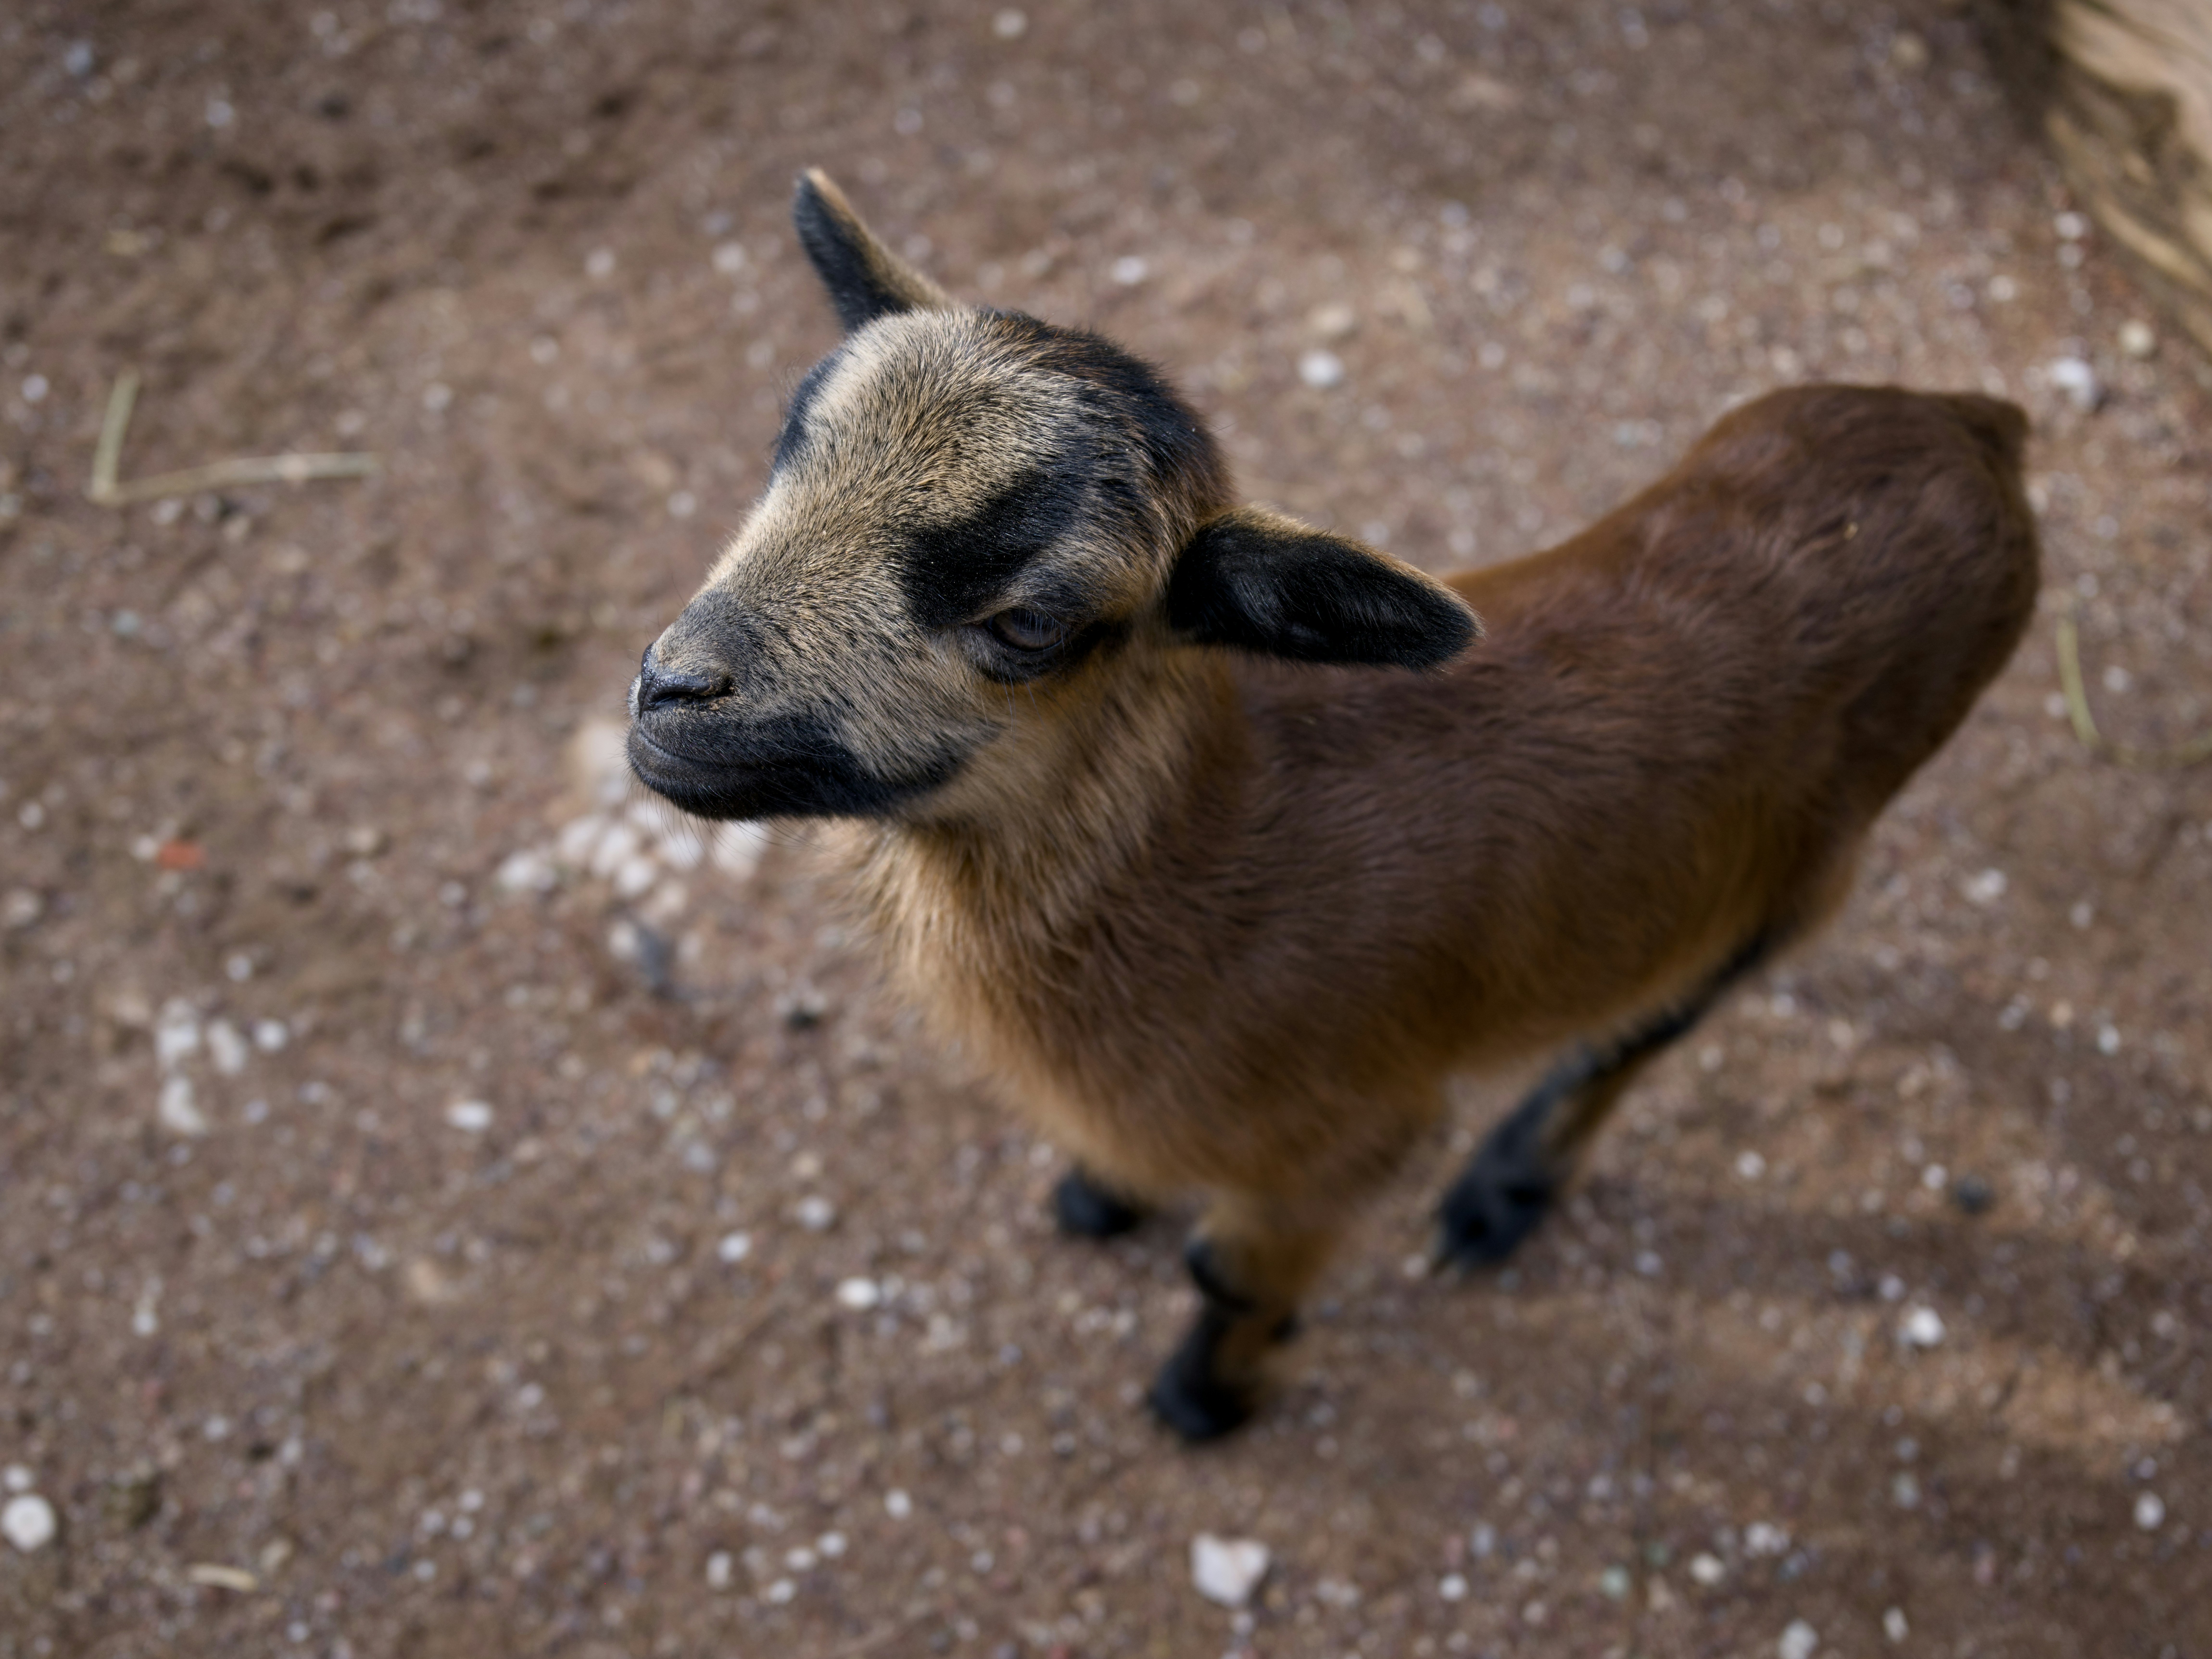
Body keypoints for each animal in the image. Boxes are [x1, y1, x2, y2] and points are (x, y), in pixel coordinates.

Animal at [627, 171, 2041, 1440]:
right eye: (785, 453)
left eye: (1026, 623)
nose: (668, 693)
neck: (1226, 851)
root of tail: (1975, 425)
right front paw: (1101, 1198)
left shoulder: (1343, 1138)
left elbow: (1227, 1273)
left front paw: (1204, 1397)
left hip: (1831, 831)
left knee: (1665, 1011)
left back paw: (1499, 1195)